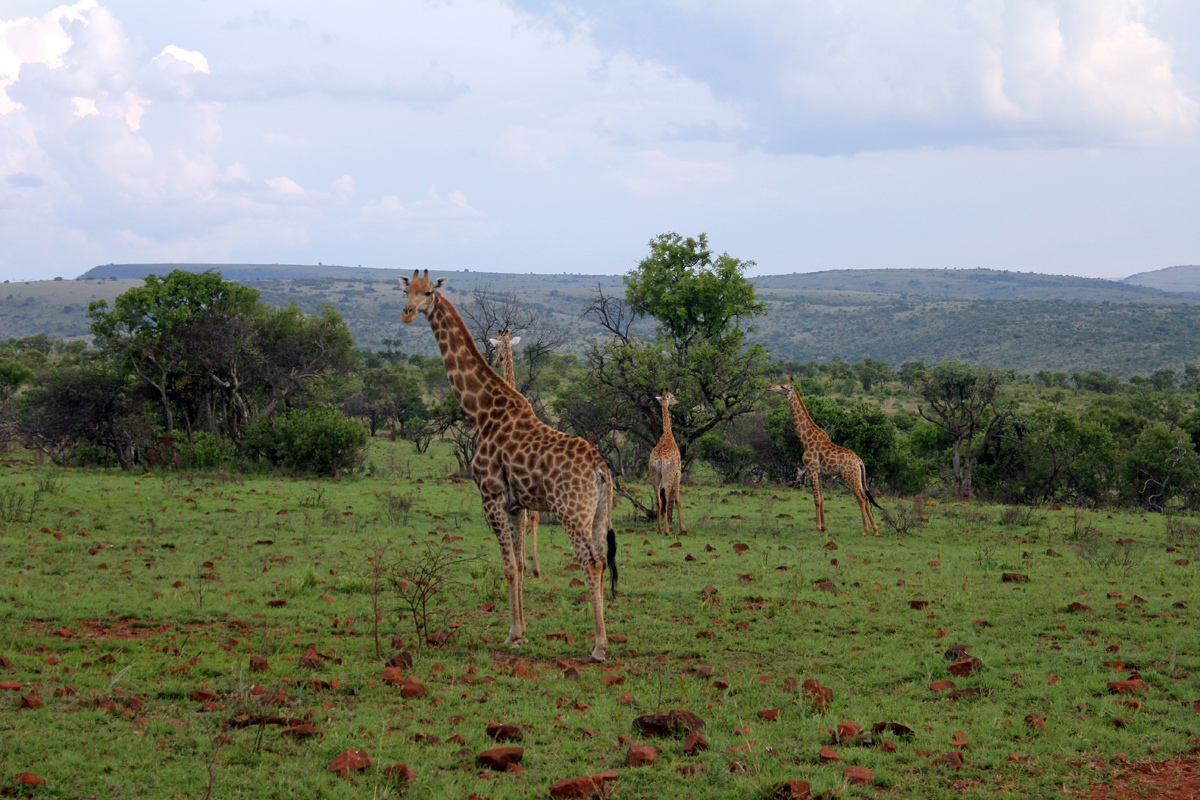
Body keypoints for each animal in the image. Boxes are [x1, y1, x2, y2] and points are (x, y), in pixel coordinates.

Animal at [403, 272, 619, 662]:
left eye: (427, 292)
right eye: (404, 291)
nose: (407, 313)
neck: (481, 410)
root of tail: (600, 468)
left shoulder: (490, 496)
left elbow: (505, 565)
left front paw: (512, 634)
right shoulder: (517, 504)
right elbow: (517, 565)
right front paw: (522, 634)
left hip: (570, 511)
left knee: (590, 562)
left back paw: (598, 647)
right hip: (598, 513)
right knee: (601, 559)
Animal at [768, 379, 883, 534]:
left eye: (782, 386)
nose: (768, 387)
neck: (806, 440)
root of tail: (860, 461)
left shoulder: (811, 470)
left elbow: (816, 499)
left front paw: (817, 528)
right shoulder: (820, 473)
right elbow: (822, 499)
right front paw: (823, 528)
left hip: (849, 476)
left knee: (860, 498)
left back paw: (865, 530)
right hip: (857, 476)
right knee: (865, 496)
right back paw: (875, 530)